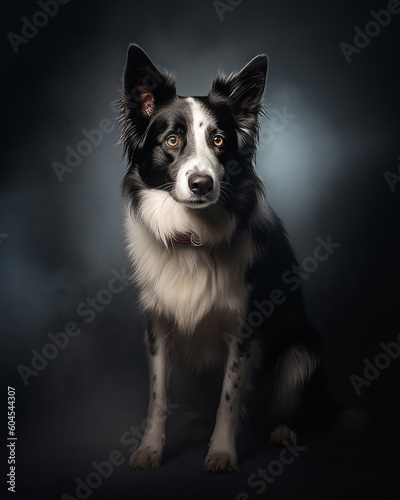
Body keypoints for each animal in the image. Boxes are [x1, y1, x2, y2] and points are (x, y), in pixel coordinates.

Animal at [117, 43, 324, 472]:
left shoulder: (244, 326)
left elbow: (229, 397)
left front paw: (222, 452)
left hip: (302, 353)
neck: (192, 236)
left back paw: (282, 429)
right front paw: (150, 449)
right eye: (172, 140)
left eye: (218, 141)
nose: (202, 183)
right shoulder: (158, 326)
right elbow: (157, 397)